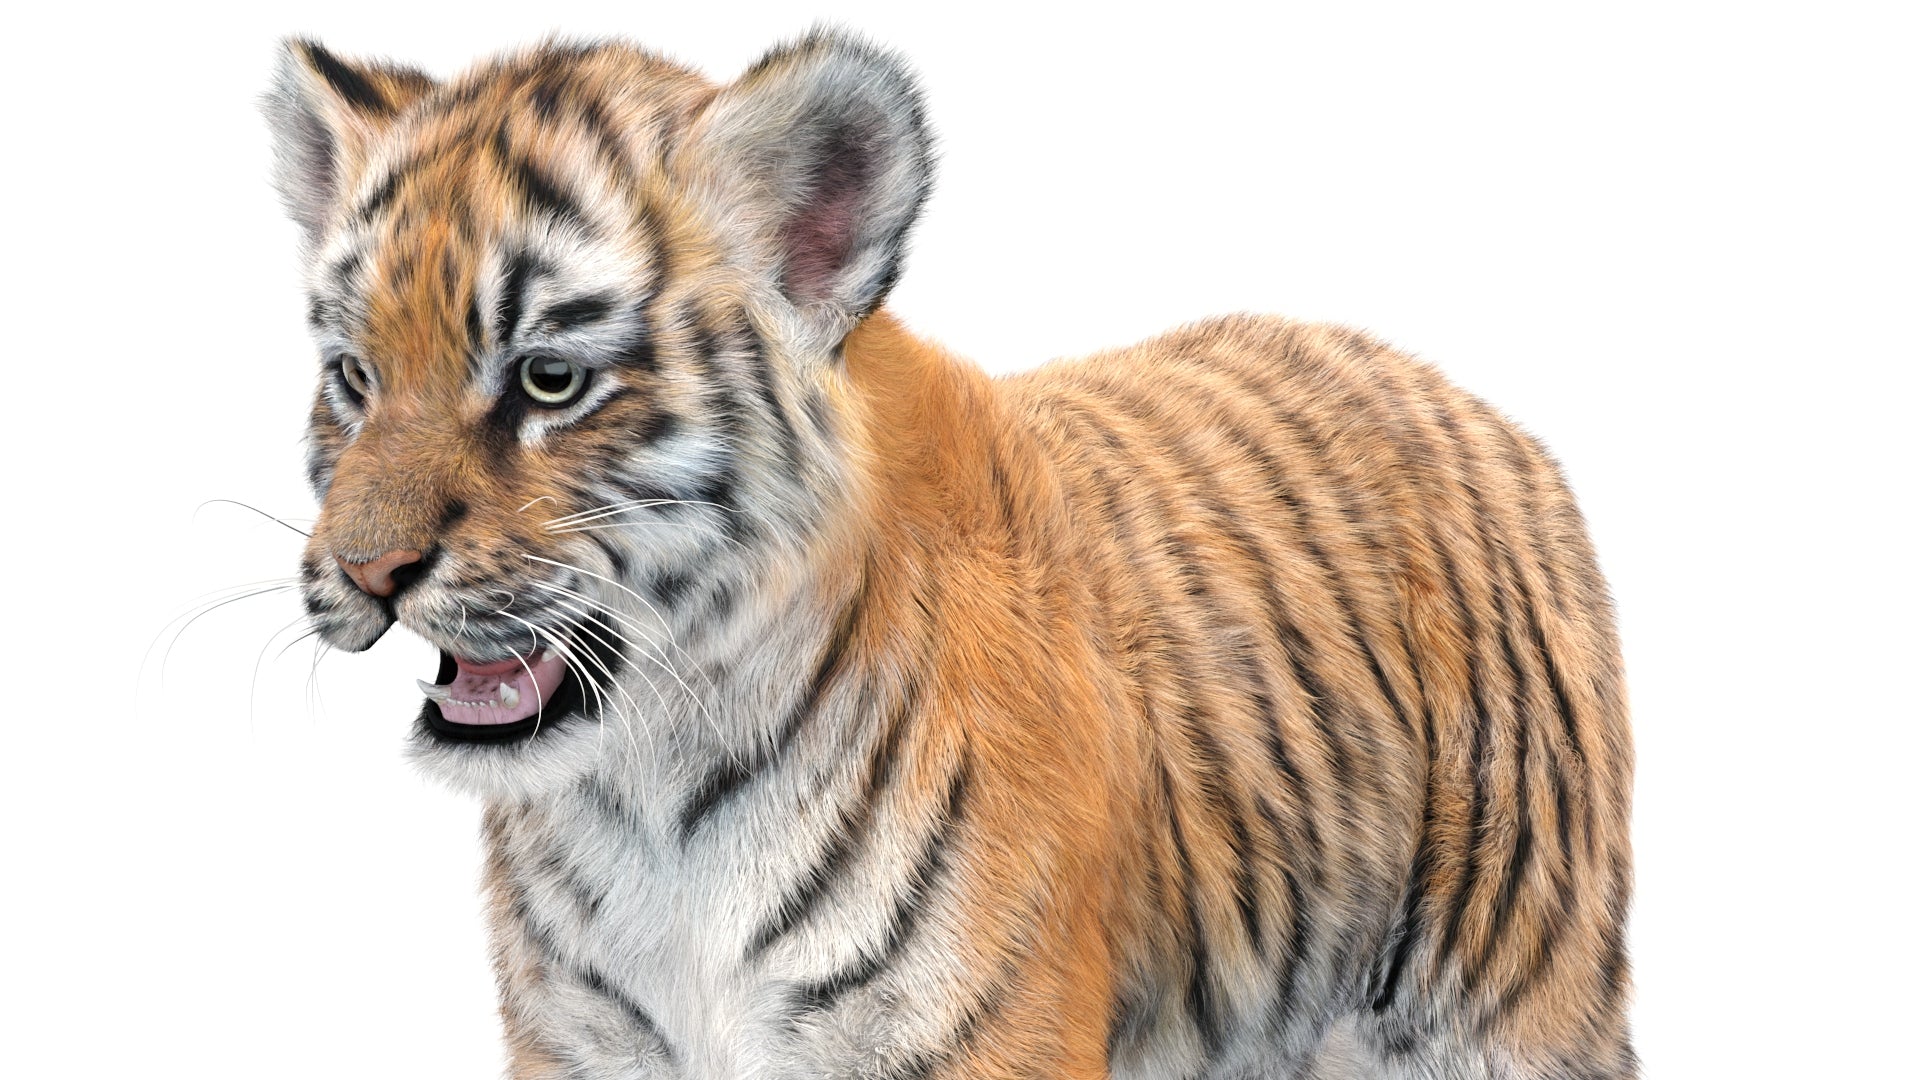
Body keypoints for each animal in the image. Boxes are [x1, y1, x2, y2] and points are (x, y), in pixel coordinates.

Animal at [263, 28, 1636, 1080]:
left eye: (550, 379)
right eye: (354, 379)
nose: (367, 574)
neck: (654, 796)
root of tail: (1442, 383)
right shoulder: (584, 1044)